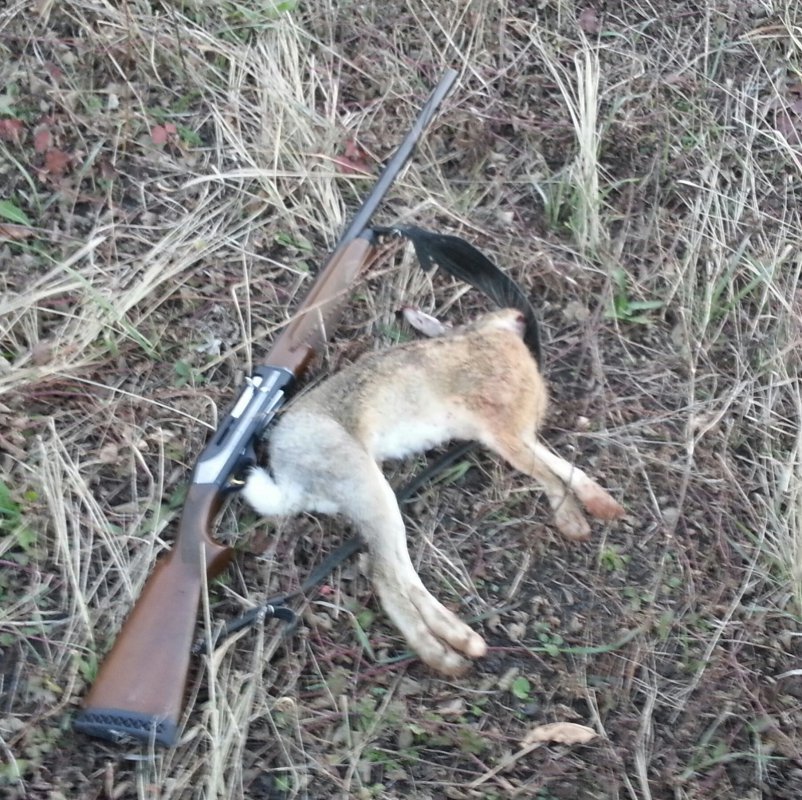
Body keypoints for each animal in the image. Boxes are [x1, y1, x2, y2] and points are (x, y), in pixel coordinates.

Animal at [242, 308, 624, 675]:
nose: (518, 315)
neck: (482, 339)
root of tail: (287, 477)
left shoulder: (515, 435)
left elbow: (560, 465)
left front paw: (605, 506)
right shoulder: (502, 432)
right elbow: (546, 473)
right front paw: (574, 523)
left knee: (395, 573)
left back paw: (460, 644)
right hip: (364, 482)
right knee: (387, 577)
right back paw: (451, 654)